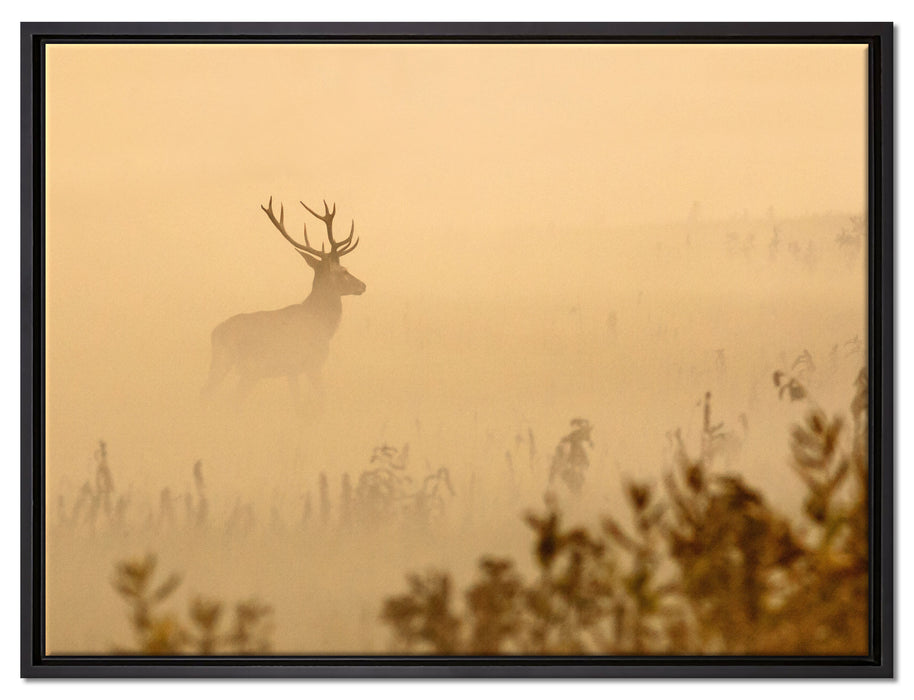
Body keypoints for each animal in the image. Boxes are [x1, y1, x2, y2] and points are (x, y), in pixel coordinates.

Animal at [202, 197, 366, 403]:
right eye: (344, 271)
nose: (362, 285)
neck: (321, 323)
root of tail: (215, 334)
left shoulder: (292, 370)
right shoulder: (311, 363)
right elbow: (319, 400)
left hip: (234, 367)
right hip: (240, 365)